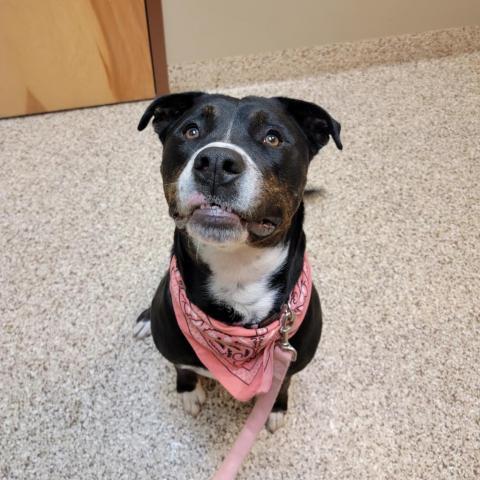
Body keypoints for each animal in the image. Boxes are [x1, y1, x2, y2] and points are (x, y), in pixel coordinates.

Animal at [134, 92, 342, 434]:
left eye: (273, 137)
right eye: (191, 131)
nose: (217, 162)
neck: (237, 272)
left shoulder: (290, 360)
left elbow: (283, 383)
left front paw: (276, 407)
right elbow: (182, 368)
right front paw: (188, 392)